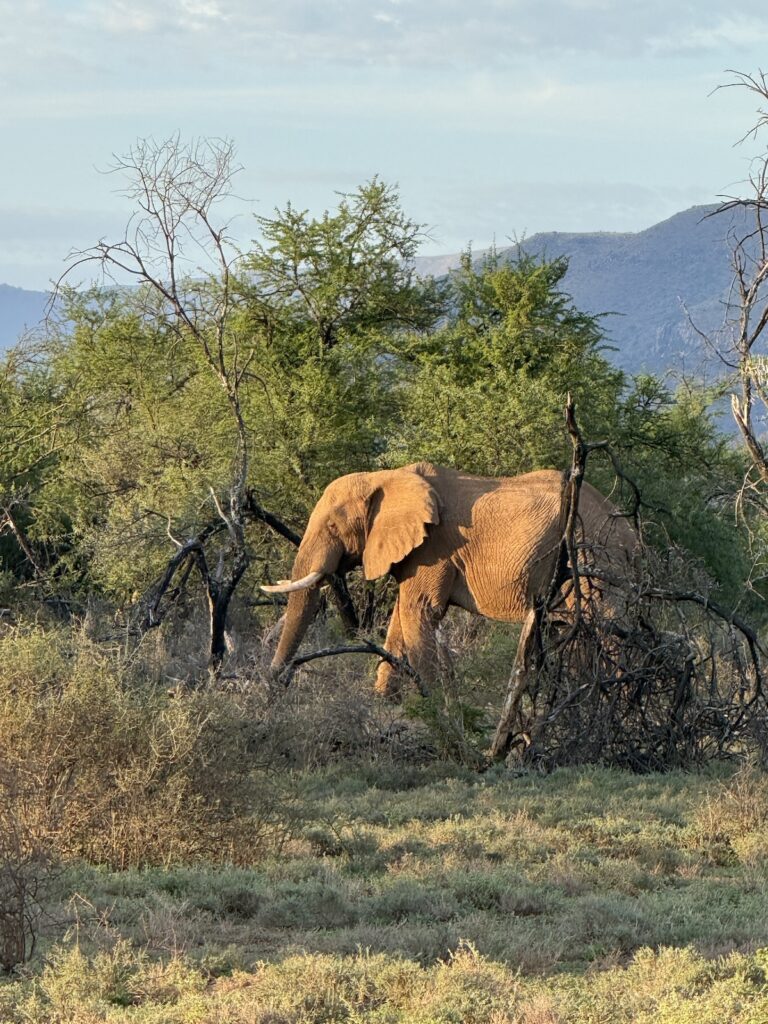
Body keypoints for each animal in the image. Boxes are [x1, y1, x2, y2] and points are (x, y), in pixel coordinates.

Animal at [262, 462, 638, 696]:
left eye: (332, 527)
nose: (279, 684)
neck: (386, 477)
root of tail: (631, 533)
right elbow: (400, 619)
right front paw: (385, 702)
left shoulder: (434, 547)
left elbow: (419, 611)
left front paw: (432, 707)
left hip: (597, 558)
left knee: (609, 631)